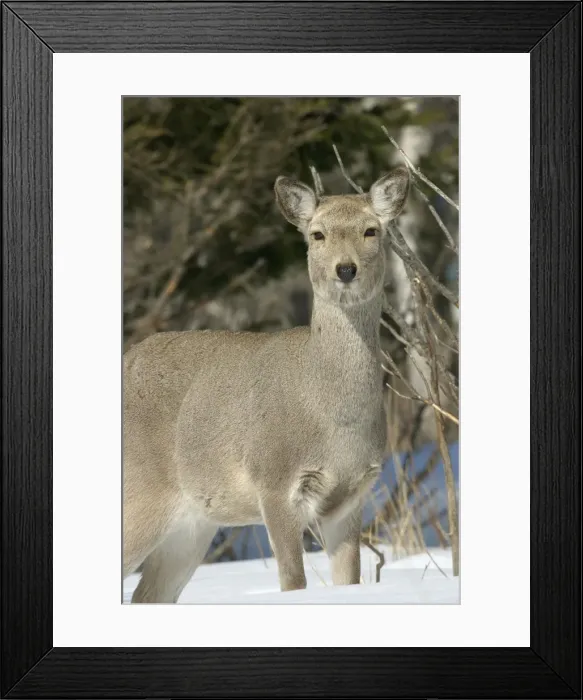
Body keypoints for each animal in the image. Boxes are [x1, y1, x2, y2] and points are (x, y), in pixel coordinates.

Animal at [123, 165, 410, 602]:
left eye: (371, 230)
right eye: (317, 234)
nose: (345, 269)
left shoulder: (350, 498)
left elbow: (349, 579)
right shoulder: (274, 482)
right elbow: (293, 582)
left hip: (191, 526)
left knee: (147, 595)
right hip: (139, 494)